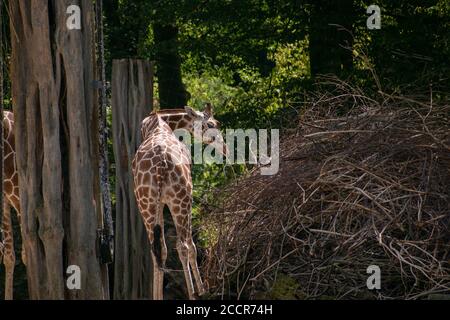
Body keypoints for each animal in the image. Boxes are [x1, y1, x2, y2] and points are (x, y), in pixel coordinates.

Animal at [133, 105, 225, 300]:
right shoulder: (186, 196)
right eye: (212, 124)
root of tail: (160, 164)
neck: (159, 121)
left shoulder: (159, 203)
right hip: (181, 198)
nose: (223, 147)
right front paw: (201, 289)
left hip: (145, 204)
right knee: (183, 245)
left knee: (156, 250)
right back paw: (193, 294)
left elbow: (163, 249)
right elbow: (191, 245)